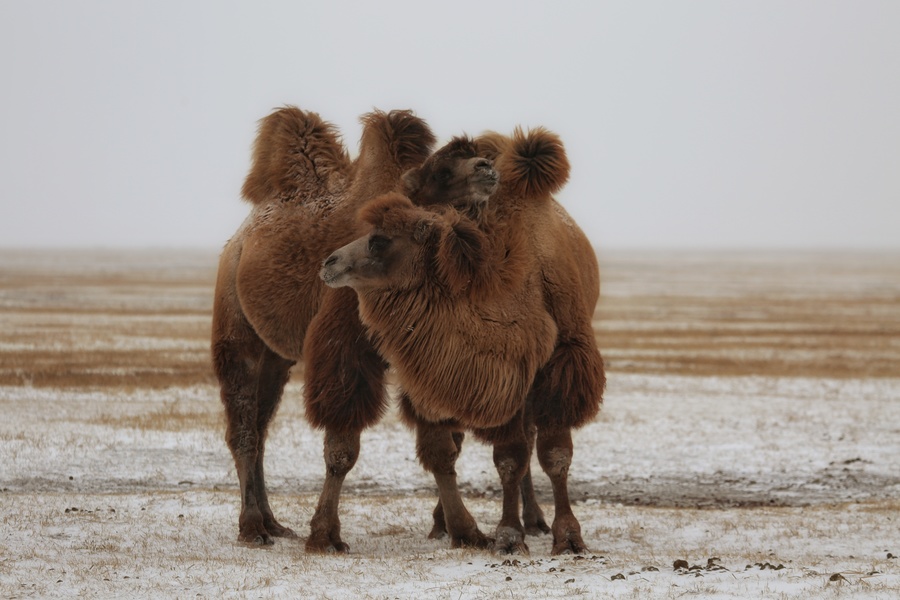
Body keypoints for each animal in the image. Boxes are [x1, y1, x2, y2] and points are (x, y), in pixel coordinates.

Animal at [214, 105, 502, 548]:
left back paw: (273, 523)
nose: (487, 166)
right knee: (243, 428)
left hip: (277, 356)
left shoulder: (425, 350)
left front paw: (465, 530)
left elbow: (442, 447)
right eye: (442, 170)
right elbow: (342, 448)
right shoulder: (344, 342)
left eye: (478, 156)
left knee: (261, 426)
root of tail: (240, 239)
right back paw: (252, 527)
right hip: (236, 323)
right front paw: (325, 534)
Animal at [320, 127, 608, 556]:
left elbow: (554, 457)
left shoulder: (559, 366)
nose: (330, 262)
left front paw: (567, 536)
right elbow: (508, 459)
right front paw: (508, 535)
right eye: (439, 171)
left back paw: (533, 521)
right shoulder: (499, 376)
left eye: (380, 241)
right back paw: (455, 523)